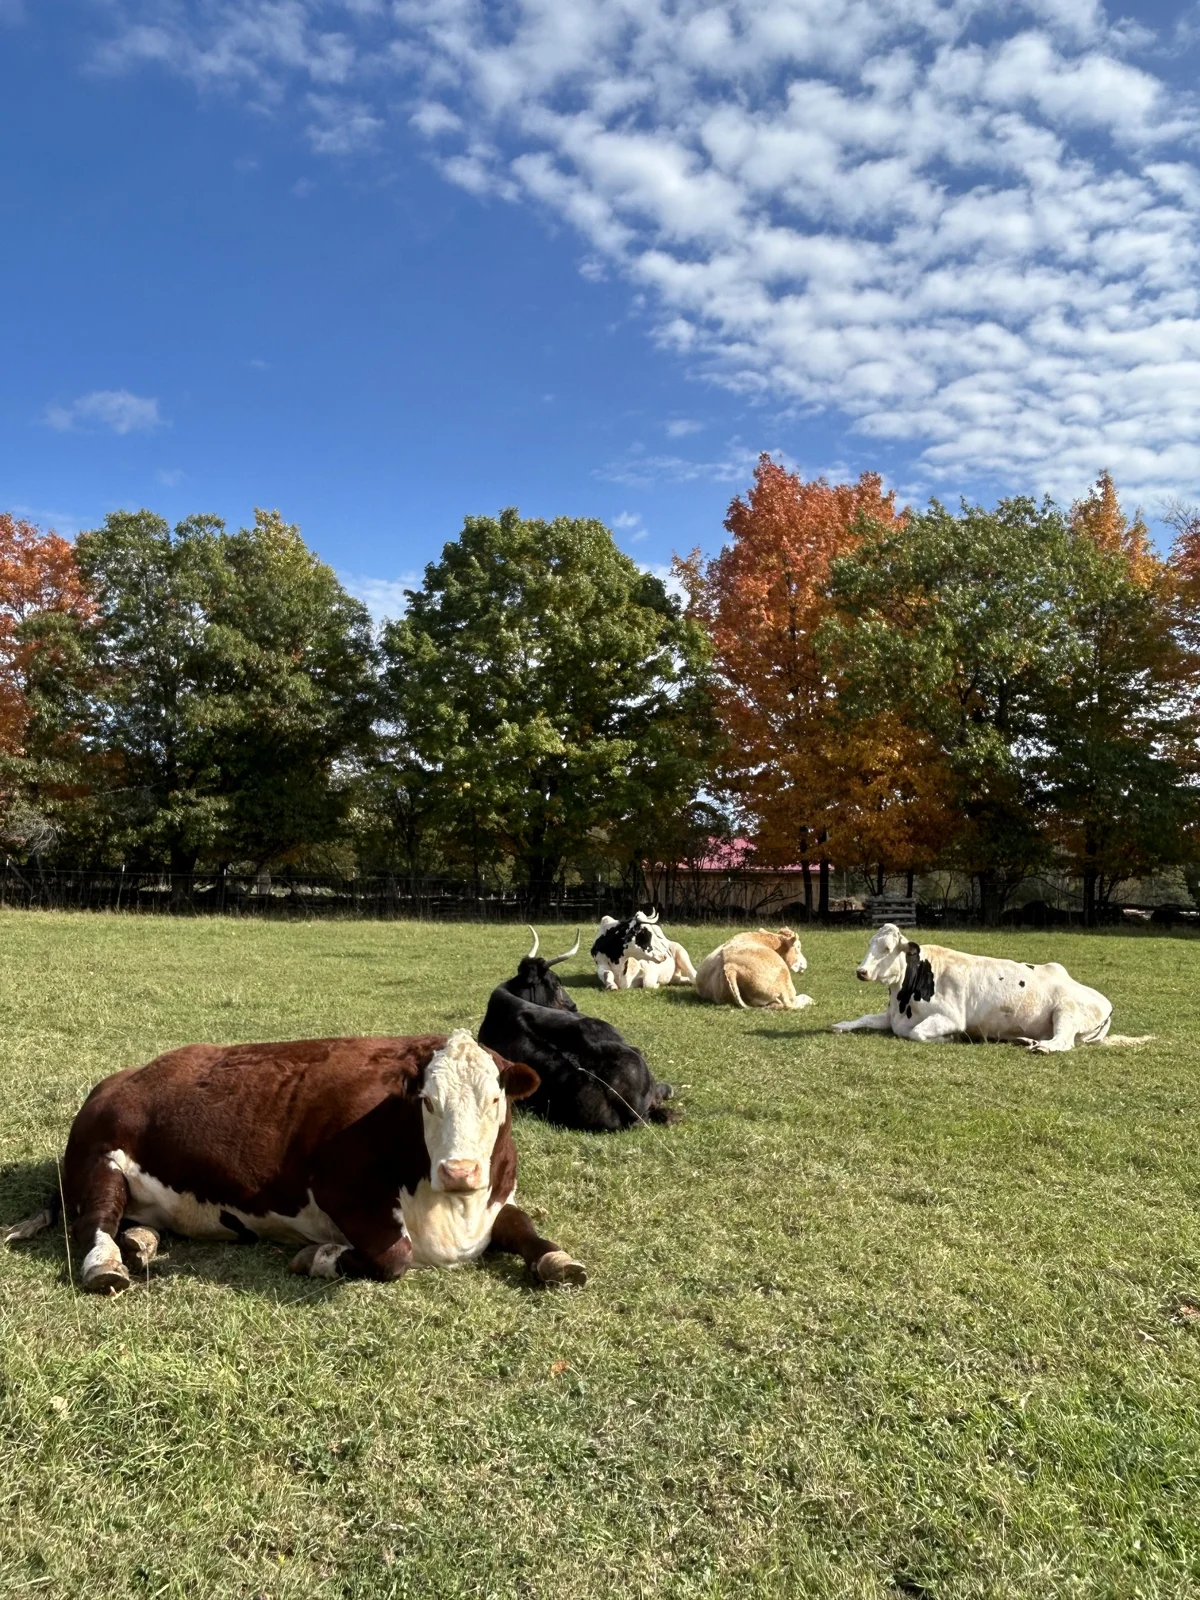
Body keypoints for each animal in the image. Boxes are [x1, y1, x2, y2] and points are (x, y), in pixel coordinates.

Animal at [4, 1030, 587, 1294]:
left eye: (495, 1098)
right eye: (427, 1101)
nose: (461, 1172)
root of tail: (119, 1079)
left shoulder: (496, 1200)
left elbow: (524, 1228)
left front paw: (558, 1258)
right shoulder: (338, 1189)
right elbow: (394, 1256)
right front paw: (319, 1257)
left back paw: (142, 1241)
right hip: (101, 1159)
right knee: (94, 1221)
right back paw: (106, 1263)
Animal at [831, 923, 1153, 1051]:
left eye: (886, 948)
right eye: (869, 944)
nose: (861, 971)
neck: (905, 997)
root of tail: (1103, 1001)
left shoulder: (950, 1017)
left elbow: (918, 1033)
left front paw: (951, 1039)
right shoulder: (892, 1016)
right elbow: (862, 1019)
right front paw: (839, 1025)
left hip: (1067, 1011)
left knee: (1063, 1041)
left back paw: (1041, 1048)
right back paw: (1025, 1040)